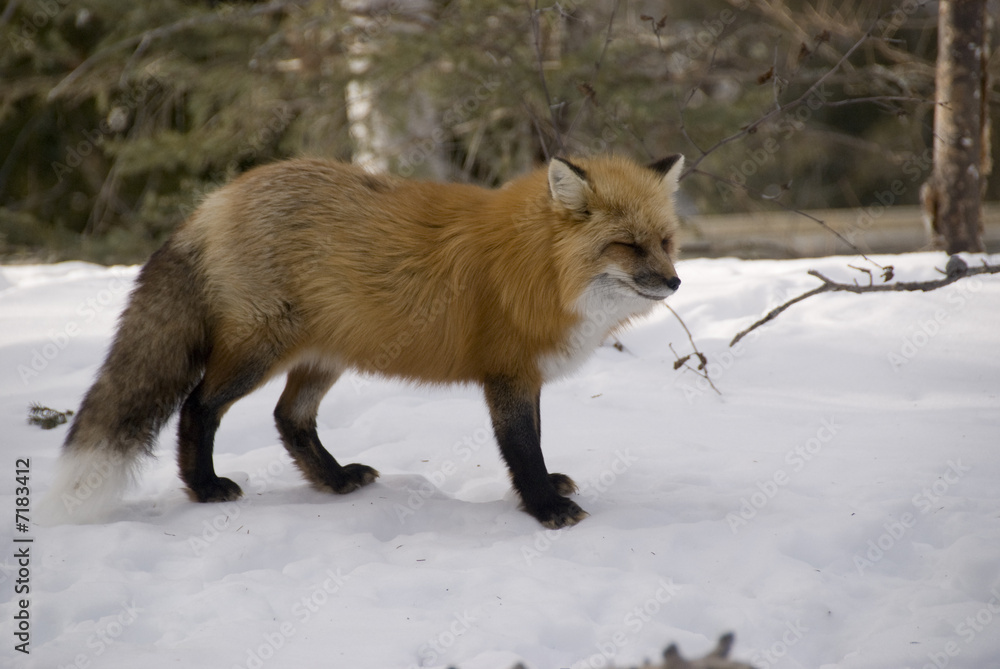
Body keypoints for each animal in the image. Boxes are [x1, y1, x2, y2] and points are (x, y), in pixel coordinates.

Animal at [40, 152, 684, 529]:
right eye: (626, 246)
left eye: (665, 242)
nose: (677, 282)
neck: (538, 267)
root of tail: (218, 198)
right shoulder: (507, 373)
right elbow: (523, 447)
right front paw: (545, 507)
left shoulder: (525, 376)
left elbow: (537, 441)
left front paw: (547, 490)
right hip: (257, 352)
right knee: (198, 407)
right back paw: (203, 487)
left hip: (324, 357)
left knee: (289, 418)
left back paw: (333, 480)